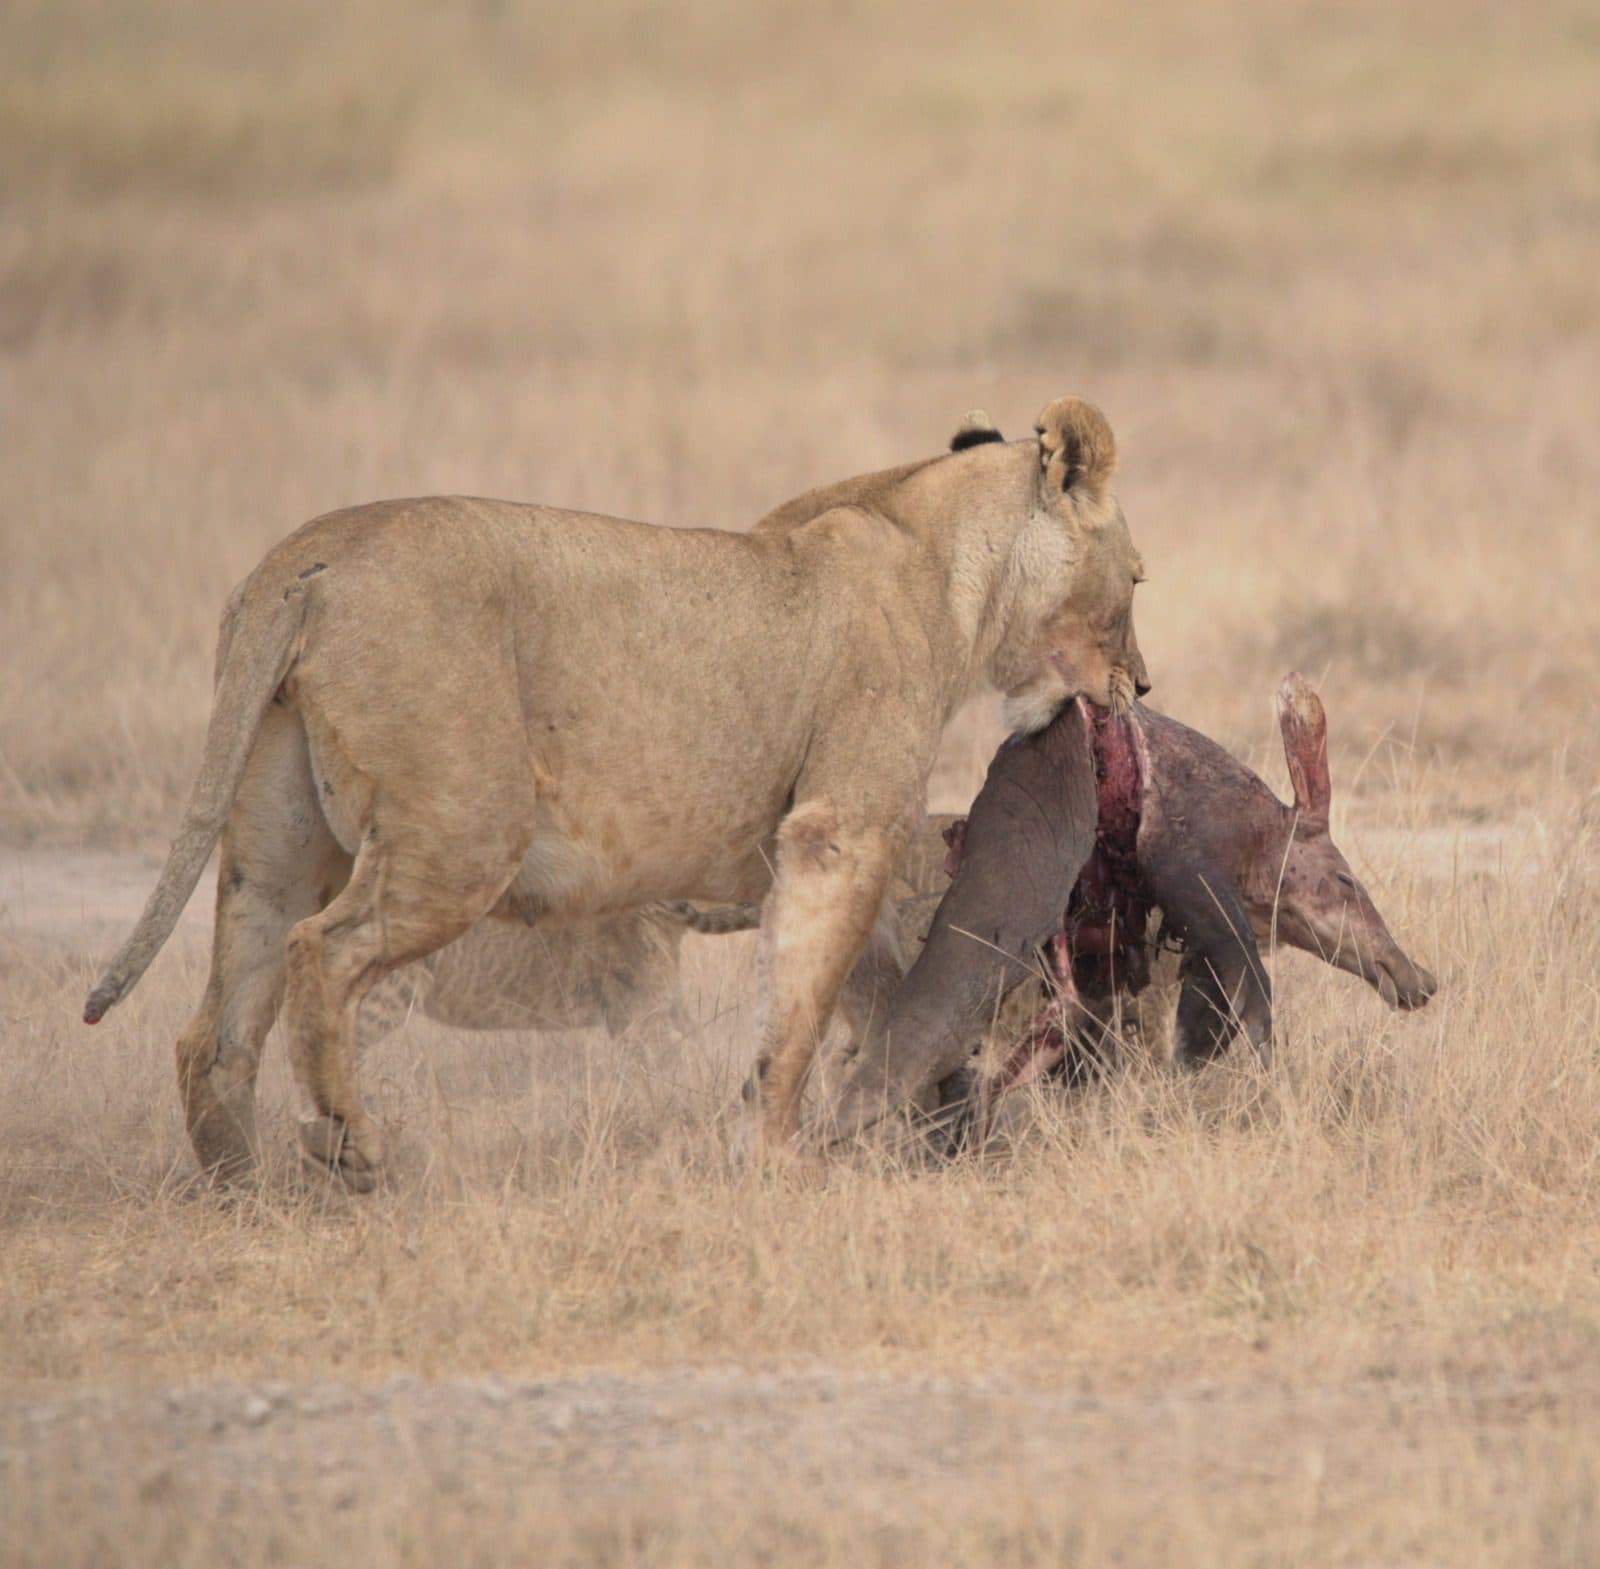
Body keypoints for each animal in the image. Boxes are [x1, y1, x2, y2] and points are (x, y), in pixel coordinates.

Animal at [84, 397, 1148, 1187]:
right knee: (323, 952)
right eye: (1137, 578)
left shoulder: (815, 851)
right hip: (464, 831)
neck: (951, 562)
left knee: (216, 1022)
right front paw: (778, 1161)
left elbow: (862, 994)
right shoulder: (838, 828)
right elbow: (800, 1011)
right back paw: (347, 1146)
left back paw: (243, 1185)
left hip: (276, 839)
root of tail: (308, 559)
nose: (1142, 686)